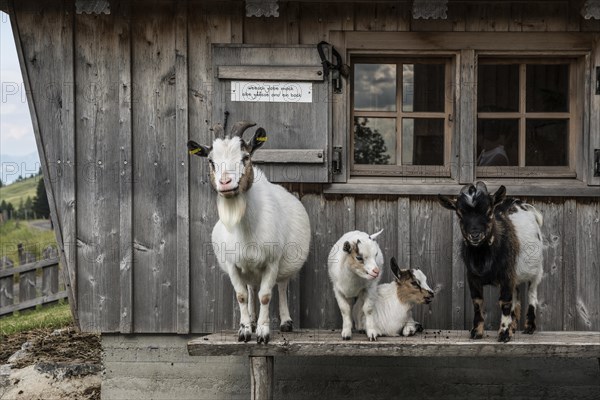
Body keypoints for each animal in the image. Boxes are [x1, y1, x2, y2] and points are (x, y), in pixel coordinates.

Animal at [186, 121, 310, 344]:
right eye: (211, 161)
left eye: (245, 157)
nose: (225, 183)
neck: (246, 229)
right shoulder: (232, 264)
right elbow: (242, 295)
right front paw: (244, 331)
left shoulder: (272, 262)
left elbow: (266, 296)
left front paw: (262, 333)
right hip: (249, 270)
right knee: (252, 288)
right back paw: (251, 320)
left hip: (285, 265)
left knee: (282, 286)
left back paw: (286, 322)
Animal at [436, 183, 544, 342]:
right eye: (460, 214)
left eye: (488, 211)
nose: (475, 235)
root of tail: (521, 203)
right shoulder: (473, 277)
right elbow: (478, 302)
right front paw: (477, 332)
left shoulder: (506, 275)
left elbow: (505, 302)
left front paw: (504, 334)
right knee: (516, 297)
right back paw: (513, 327)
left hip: (536, 270)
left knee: (532, 294)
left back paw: (529, 327)